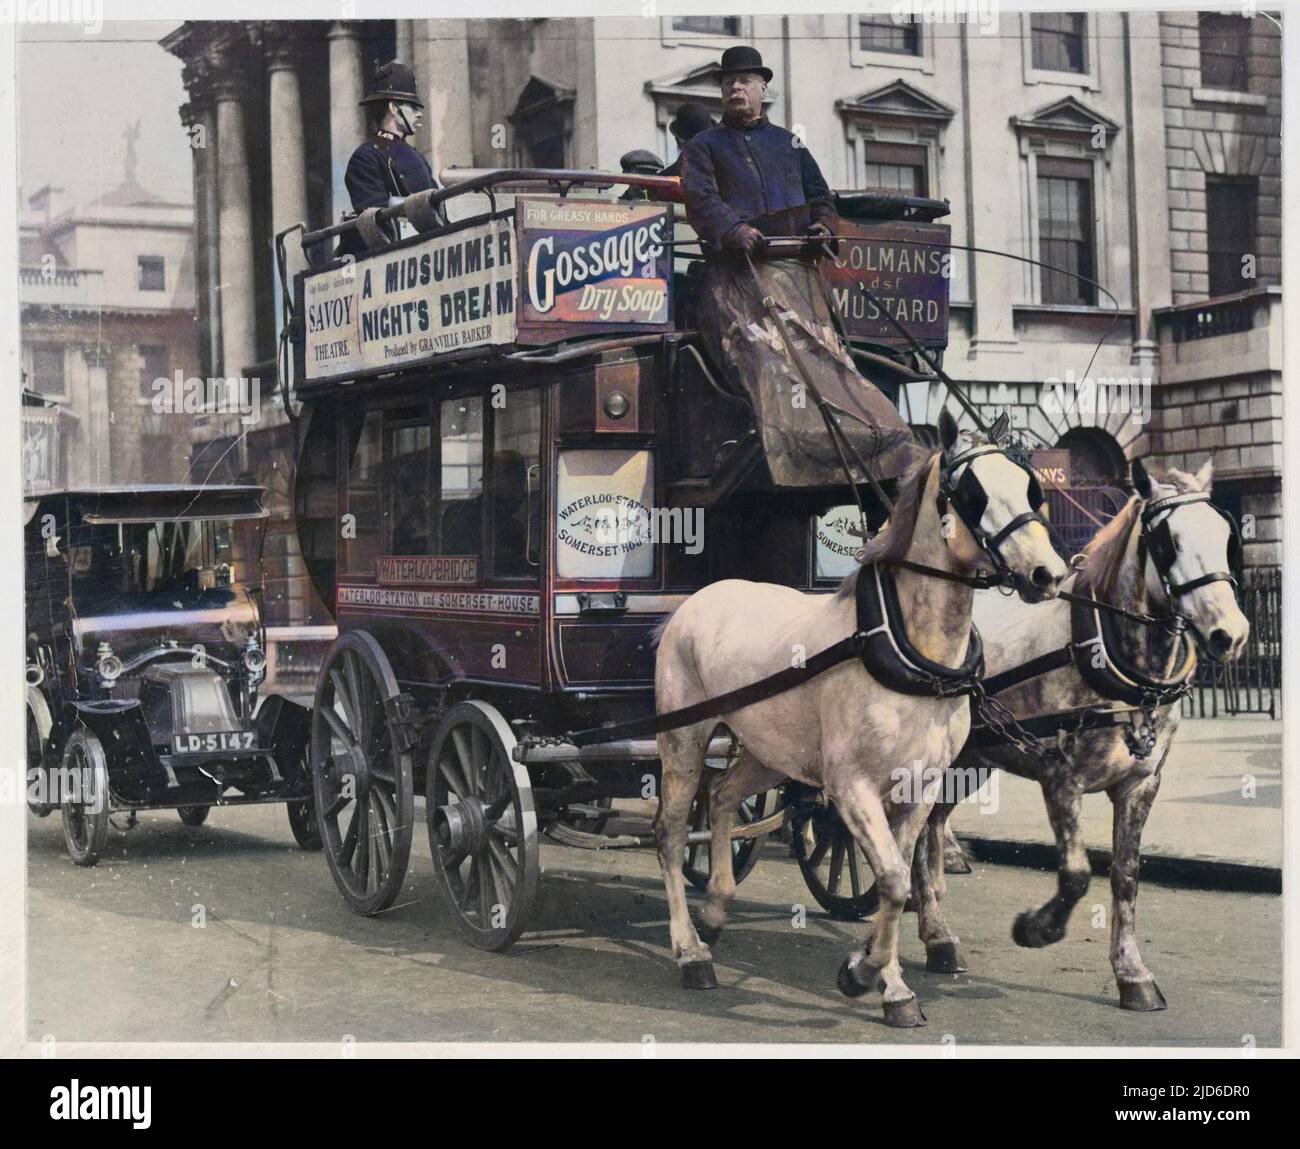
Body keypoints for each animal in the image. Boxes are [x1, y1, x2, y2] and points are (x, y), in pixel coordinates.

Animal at [650, 410, 1066, 1024]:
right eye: (972, 493)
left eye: (1031, 488)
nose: (1048, 574)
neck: (910, 652)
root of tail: (696, 600)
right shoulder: (850, 785)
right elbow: (893, 879)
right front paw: (866, 973)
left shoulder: (920, 784)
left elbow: (899, 876)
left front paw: (887, 980)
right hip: (684, 736)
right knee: (673, 832)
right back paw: (689, 949)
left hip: (772, 752)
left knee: (723, 796)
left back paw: (718, 909)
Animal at [915, 457, 1248, 1003]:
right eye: (1168, 542)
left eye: (1226, 535)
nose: (1231, 635)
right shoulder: (1060, 778)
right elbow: (1075, 874)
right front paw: (1036, 928)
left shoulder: (1141, 784)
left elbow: (1126, 877)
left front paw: (1132, 973)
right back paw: (935, 933)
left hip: (972, 758)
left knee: (933, 823)